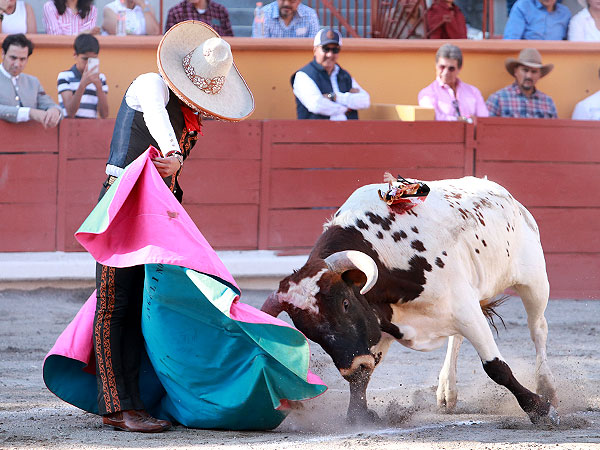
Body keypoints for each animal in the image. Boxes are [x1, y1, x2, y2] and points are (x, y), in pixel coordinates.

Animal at [260, 175, 560, 426]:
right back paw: (447, 391)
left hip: (534, 282)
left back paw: (547, 388)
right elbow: (364, 374)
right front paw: (358, 415)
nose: (352, 365)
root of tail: (507, 196)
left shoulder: (464, 309)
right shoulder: (381, 324)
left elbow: (496, 367)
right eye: (307, 330)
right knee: (456, 339)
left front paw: (540, 408)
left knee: (538, 330)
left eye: (345, 304)